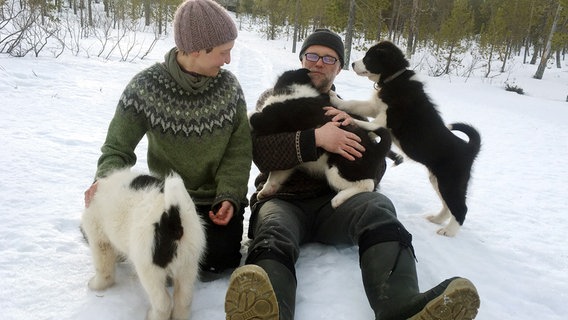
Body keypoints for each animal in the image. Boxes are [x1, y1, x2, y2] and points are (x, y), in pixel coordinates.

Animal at [80, 169, 204, 318]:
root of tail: (173, 218)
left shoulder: (100, 240)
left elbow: (104, 269)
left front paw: (96, 285)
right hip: (188, 265)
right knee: (184, 300)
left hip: (149, 268)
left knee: (163, 303)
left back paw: (152, 316)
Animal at [251, 68, 392, 208]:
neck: (297, 88)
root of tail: (377, 149)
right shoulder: (287, 165)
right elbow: (276, 176)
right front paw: (265, 192)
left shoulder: (266, 118)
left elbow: (251, 116)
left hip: (336, 168)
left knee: (368, 185)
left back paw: (338, 200)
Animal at [330, 40, 482, 236]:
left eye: (369, 58)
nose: (354, 64)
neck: (394, 78)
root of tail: (468, 149)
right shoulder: (374, 107)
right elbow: (353, 104)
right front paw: (334, 98)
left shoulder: (387, 118)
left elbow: (370, 124)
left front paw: (348, 118)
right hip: (437, 179)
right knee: (448, 205)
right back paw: (437, 219)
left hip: (451, 181)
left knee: (461, 208)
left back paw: (448, 231)